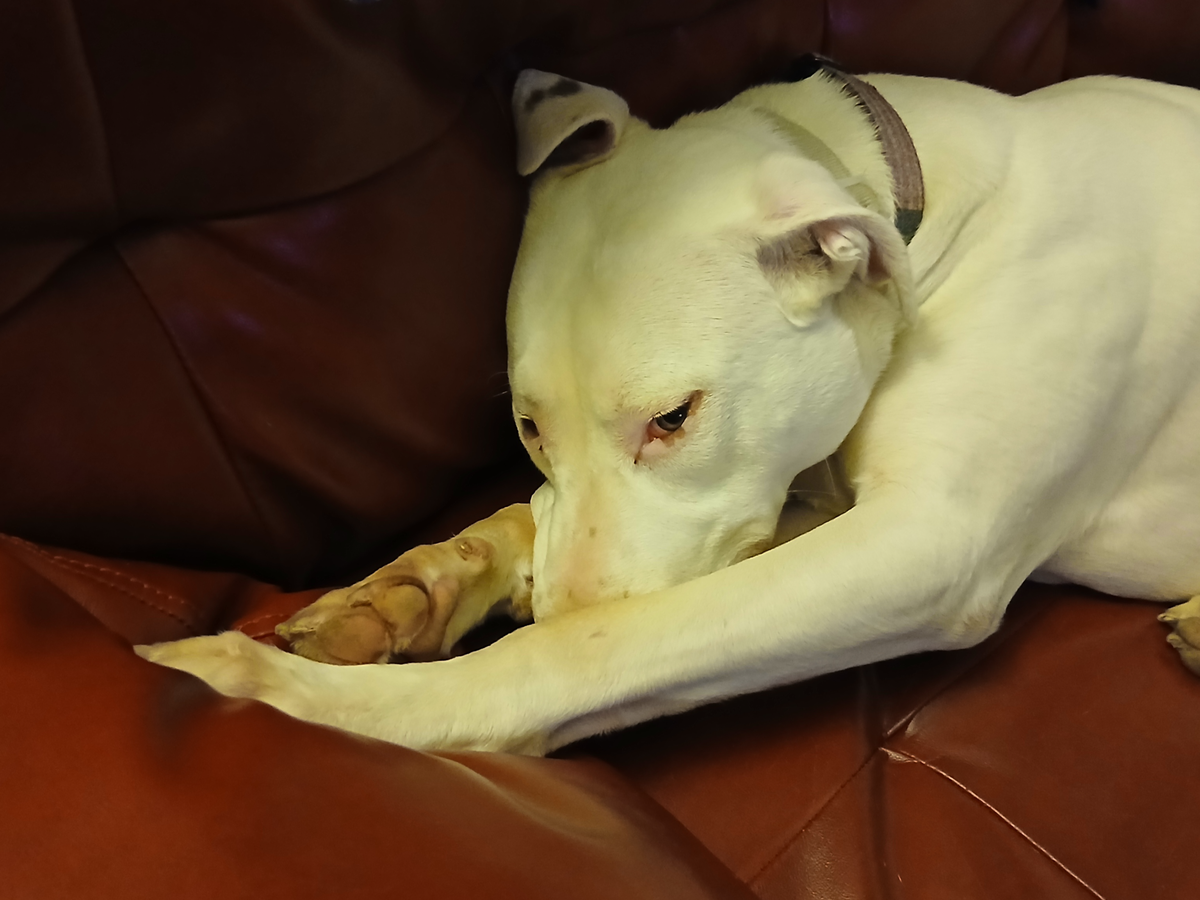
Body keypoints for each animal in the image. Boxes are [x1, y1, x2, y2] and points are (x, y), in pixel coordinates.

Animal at [139, 63, 1200, 755]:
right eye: (527, 427)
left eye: (675, 418)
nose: (553, 600)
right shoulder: (786, 501)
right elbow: (524, 518)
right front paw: (401, 594)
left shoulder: (931, 540)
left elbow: (585, 651)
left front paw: (293, 695)